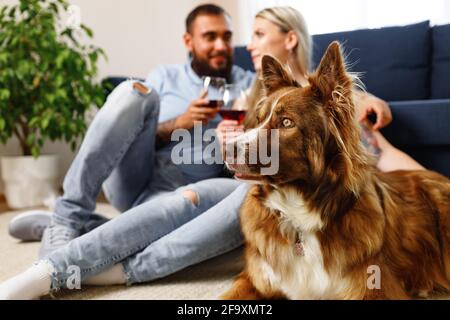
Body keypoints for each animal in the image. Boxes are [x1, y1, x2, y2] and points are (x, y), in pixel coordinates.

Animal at [221, 41, 450, 298]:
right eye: (258, 120)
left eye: (286, 123)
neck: (300, 215)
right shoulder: (253, 278)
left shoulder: (374, 287)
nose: (226, 149)